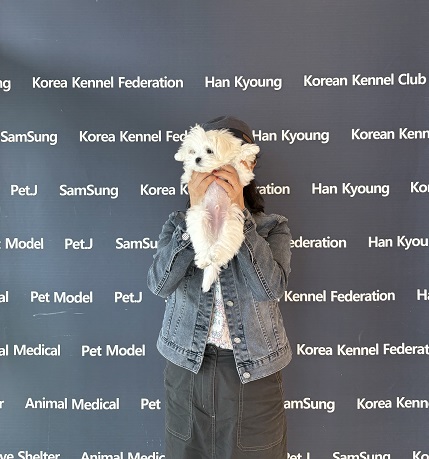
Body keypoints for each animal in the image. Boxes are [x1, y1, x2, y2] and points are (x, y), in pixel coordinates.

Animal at [175, 124, 260, 291]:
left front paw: (249, 149)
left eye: (209, 150)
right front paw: (181, 155)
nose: (197, 159)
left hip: (230, 223)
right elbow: (189, 170)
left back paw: (215, 255)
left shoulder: (240, 175)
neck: (214, 169)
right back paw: (204, 260)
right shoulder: (191, 175)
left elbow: (237, 161)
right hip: (200, 221)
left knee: (224, 246)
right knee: (203, 246)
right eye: (193, 151)